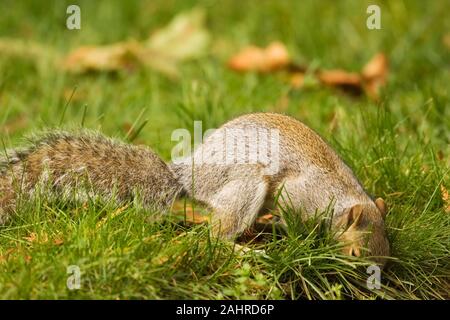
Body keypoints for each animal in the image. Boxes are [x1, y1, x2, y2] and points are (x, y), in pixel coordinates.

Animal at [0, 112, 388, 264]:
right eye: (356, 253)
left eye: (386, 256)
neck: (341, 197)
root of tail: (187, 174)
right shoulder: (299, 193)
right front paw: (300, 236)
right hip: (246, 184)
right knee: (214, 235)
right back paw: (241, 249)